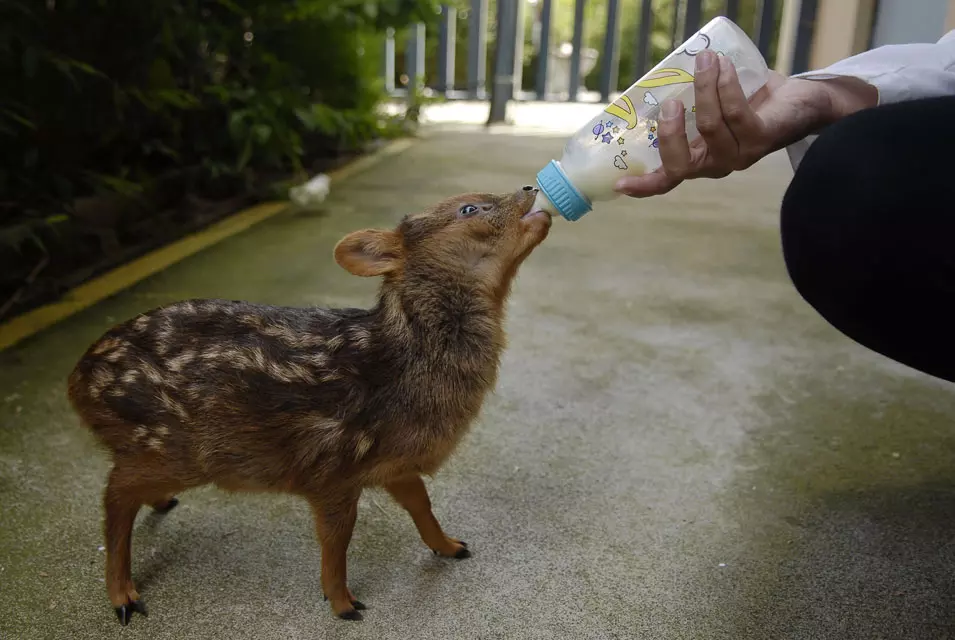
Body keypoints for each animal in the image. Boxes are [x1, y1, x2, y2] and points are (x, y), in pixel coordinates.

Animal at [67, 186, 552, 624]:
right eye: (470, 208)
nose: (531, 188)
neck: (402, 364)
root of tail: (78, 381)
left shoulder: (392, 460)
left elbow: (421, 502)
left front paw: (450, 546)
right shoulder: (332, 466)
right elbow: (337, 537)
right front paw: (343, 603)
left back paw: (160, 508)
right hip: (169, 444)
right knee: (114, 494)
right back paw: (124, 596)